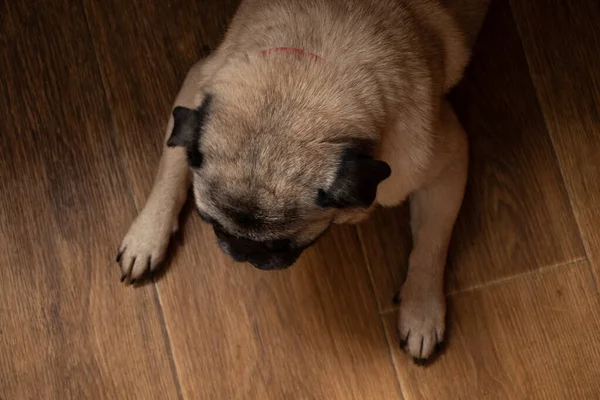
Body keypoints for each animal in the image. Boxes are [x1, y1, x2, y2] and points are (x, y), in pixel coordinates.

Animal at [117, 0, 472, 362]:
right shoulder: (196, 87)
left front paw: (421, 311)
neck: (296, 88)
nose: (242, 253)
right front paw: (148, 235)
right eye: (211, 224)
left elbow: (431, 245)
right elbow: (171, 170)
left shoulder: (443, 162)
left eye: (282, 244)